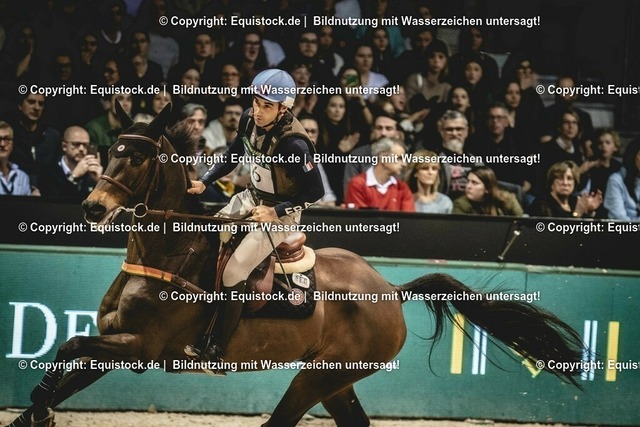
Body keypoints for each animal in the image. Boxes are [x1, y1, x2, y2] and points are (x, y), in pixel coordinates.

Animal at [10, 103, 583, 427]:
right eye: (109, 151)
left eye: (138, 157)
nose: (92, 208)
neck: (167, 254)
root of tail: (390, 290)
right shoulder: (114, 343)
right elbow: (64, 365)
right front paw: (37, 411)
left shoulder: (141, 347)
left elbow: (68, 345)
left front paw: (40, 408)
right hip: (336, 381)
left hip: (317, 379)